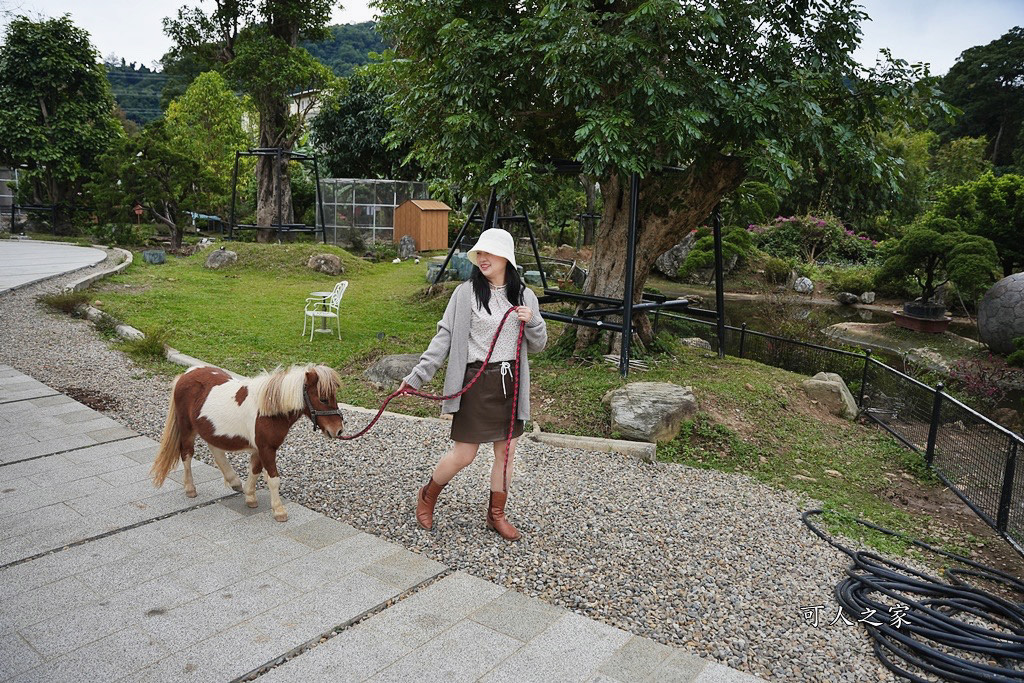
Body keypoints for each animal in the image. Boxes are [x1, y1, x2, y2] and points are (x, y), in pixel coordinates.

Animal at [150, 366, 344, 520]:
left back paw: (234, 481)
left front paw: (250, 496)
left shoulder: (260, 449)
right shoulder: (267, 448)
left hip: (209, 428)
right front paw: (279, 511)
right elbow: (273, 479)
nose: (338, 430)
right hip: (187, 429)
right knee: (187, 454)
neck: (268, 410)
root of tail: (185, 374)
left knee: (215, 448)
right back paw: (190, 489)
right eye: (323, 398)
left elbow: (255, 470)